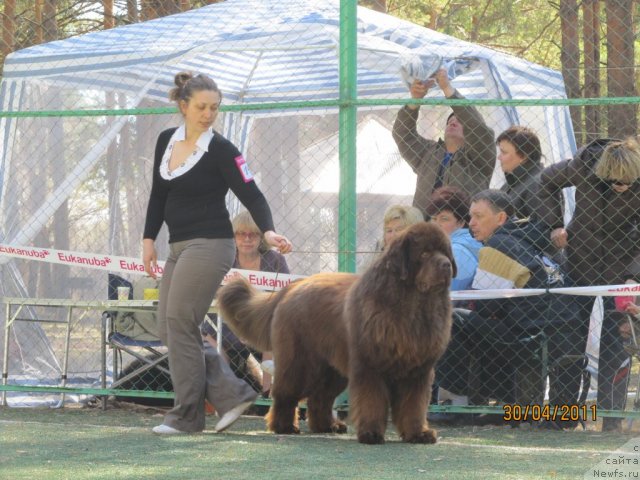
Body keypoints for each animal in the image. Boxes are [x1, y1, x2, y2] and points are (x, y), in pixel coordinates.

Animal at [218, 223, 458, 444]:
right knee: (286, 393)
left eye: (445, 252)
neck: (413, 307)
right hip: (301, 362)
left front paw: (418, 434)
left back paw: (326, 426)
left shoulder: (418, 371)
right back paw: (283, 426)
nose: (446, 265)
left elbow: (414, 406)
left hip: (331, 368)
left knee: (320, 397)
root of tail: (292, 287)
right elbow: (372, 401)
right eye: (424, 253)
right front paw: (371, 434)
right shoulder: (370, 366)